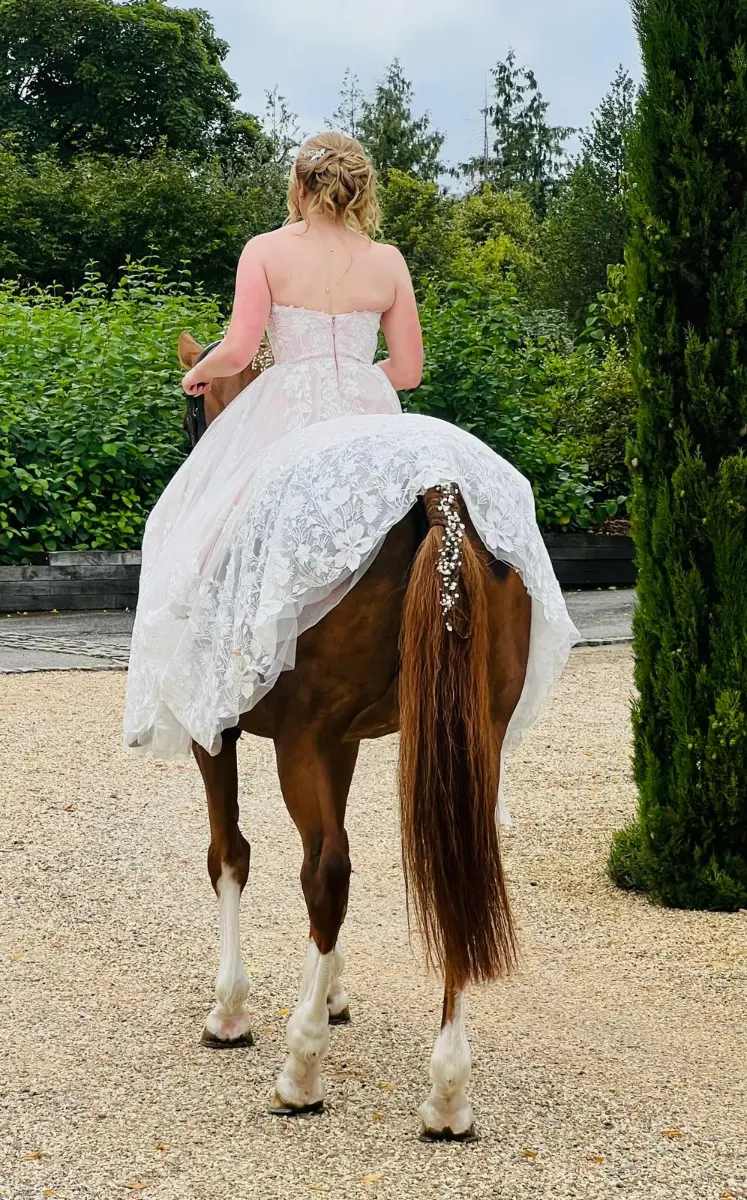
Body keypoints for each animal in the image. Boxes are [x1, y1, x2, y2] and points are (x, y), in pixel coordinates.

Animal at [175, 333, 532, 1140]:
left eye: (193, 404)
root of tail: (439, 489)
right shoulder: (340, 743)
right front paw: (331, 993)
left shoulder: (225, 734)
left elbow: (231, 855)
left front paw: (232, 1010)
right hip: (474, 742)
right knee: (454, 871)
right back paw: (447, 1093)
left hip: (300, 740)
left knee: (325, 872)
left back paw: (300, 1073)